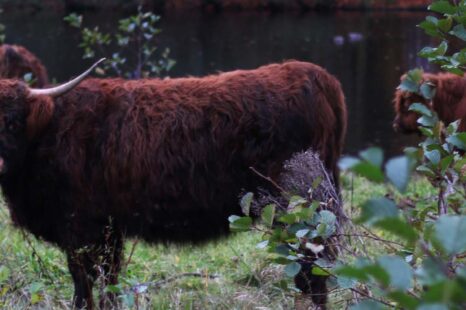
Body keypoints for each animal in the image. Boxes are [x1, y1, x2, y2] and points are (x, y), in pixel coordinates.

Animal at [0, 58, 346, 308]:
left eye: (13, 122)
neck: (49, 134)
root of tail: (314, 74)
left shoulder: (80, 226)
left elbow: (83, 281)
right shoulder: (108, 226)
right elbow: (108, 278)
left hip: (300, 205)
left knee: (311, 265)